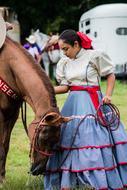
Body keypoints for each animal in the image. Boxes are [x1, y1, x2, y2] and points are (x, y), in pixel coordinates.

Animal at [0, 36, 68, 183]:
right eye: (42, 137)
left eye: (56, 140)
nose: (39, 170)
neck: (8, 67)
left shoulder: (12, 116)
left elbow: (5, 146)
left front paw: (2, 178)